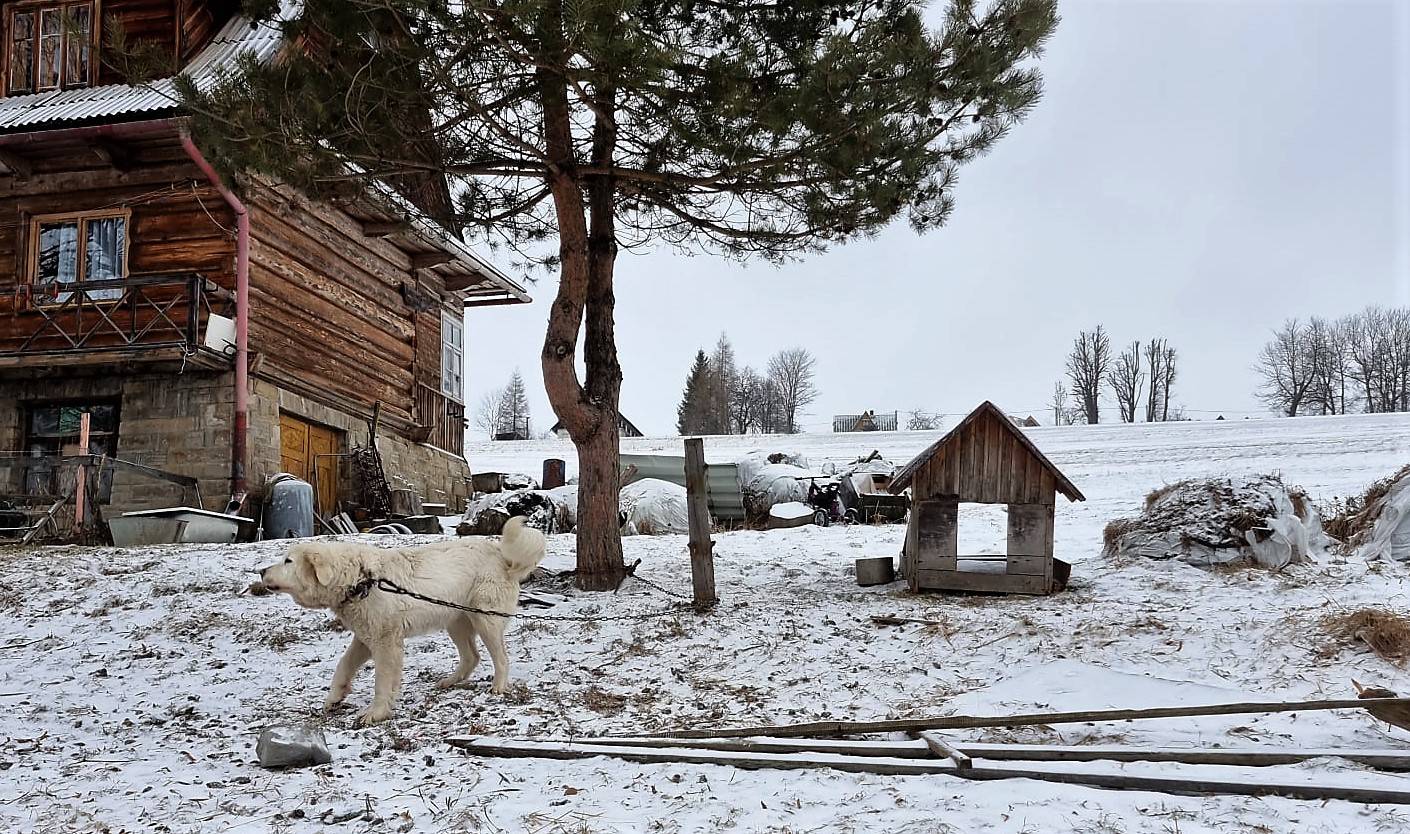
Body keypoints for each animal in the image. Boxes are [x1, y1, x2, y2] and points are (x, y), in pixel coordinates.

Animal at [259, 522, 544, 722]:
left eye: (288, 561)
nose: (261, 571)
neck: (361, 579)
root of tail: (501, 554)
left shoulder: (386, 642)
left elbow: (382, 681)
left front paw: (375, 713)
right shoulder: (365, 638)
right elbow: (343, 666)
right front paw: (334, 698)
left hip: (485, 619)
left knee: (501, 657)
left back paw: (498, 687)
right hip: (456, 621)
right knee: (471, 656)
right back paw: (450, 682)